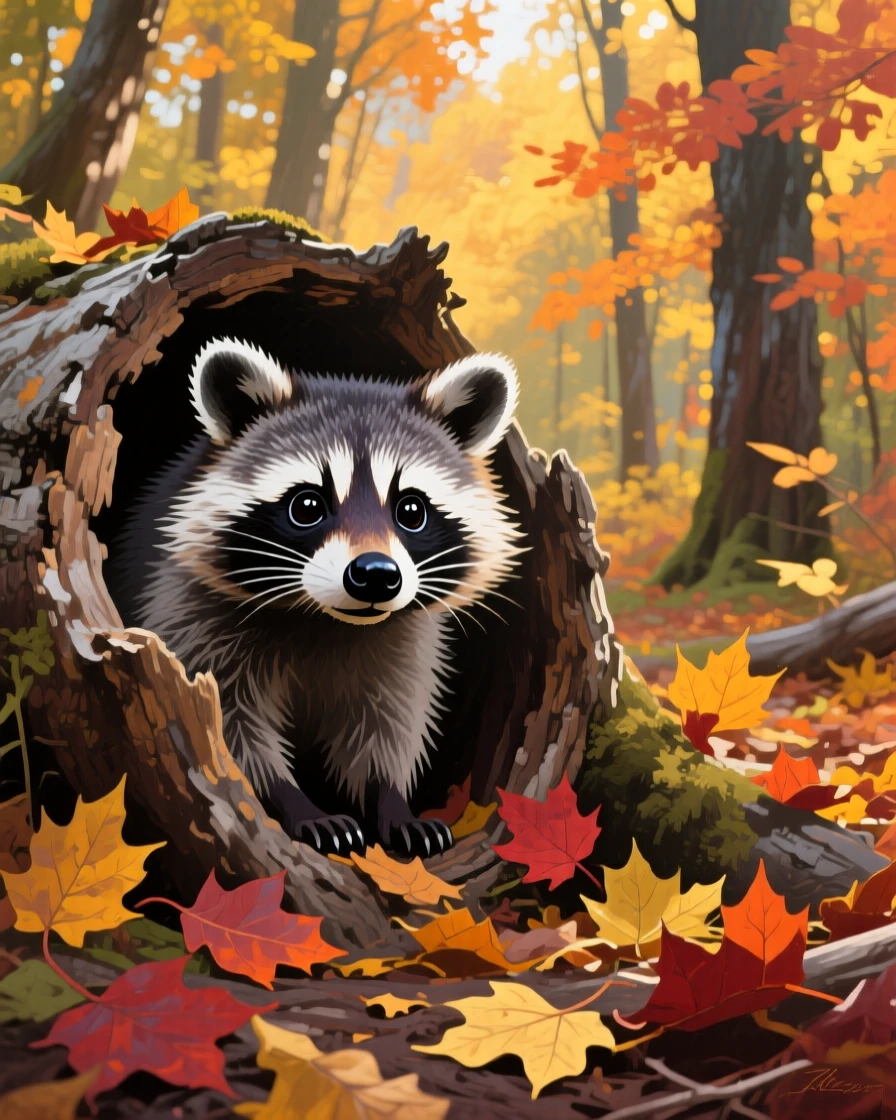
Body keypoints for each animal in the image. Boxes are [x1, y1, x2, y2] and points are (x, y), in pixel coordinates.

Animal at [113, 338, 524, 858]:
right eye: (307, 505)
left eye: (411, 510)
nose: (375, 576)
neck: (326, 619)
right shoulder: (188, 608)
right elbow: (227, 724)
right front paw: (291, 800)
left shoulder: (403, 641)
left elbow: (388, 720)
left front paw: (390, 799)